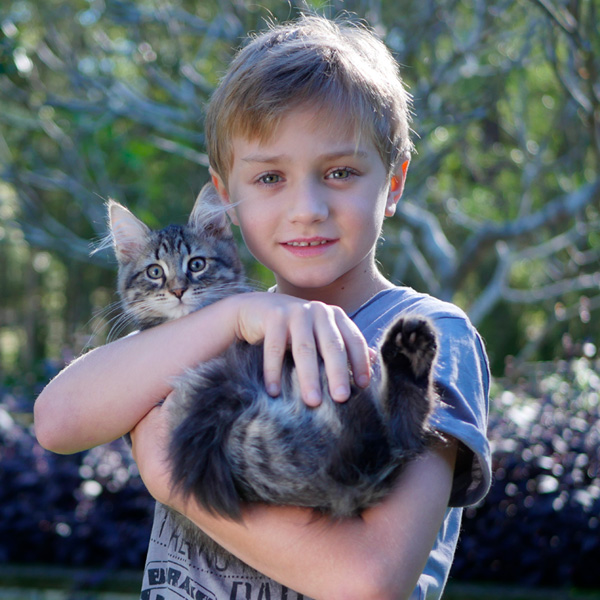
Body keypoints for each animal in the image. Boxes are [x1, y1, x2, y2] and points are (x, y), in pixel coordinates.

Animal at [108, 183, 438, 568]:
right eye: (154, 272)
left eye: (197, 264)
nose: (177, 290)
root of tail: (356, 486)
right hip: (248, 440)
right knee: (388, 434)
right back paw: (406, 356)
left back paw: (409, 351)